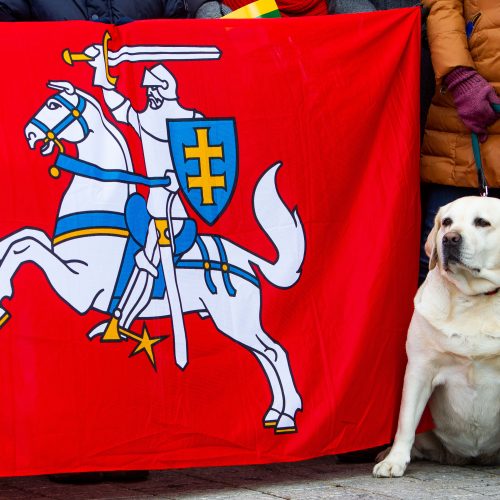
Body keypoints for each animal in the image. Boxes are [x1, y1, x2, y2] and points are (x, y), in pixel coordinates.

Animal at [0, 82, 306, 434]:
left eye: (53, 104)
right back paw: (274, 412)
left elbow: (27, 248)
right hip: (236, 321)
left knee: (275, 352)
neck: (98, 203)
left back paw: (286, 416)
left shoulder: (79, 287)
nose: (30, 134)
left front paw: (3, 296)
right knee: (265, 355)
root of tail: (244, 258)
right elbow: (22, 237)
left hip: (235, 319)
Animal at [376, 197, 500, 478]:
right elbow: (405, 421)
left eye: (482, 222)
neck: (474, 298)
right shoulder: (420, 368)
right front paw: (394, 461)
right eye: (447, 222)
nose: (450, 239)